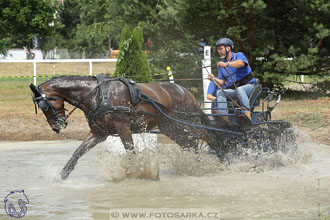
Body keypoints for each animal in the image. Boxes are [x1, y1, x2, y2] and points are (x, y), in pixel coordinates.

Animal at [29, 75, 220, 180]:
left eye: (44, 106)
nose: (56, 127)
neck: (98, 95)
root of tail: (185, 91)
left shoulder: (123, 127)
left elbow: (130, 151)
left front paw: (135, 174)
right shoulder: (98, 133)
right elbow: (78, 152)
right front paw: (62, 176)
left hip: (189, 122)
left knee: (209, 138)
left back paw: (223, 159)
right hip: (171, 127)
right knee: (191, 145)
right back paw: (195, 166)